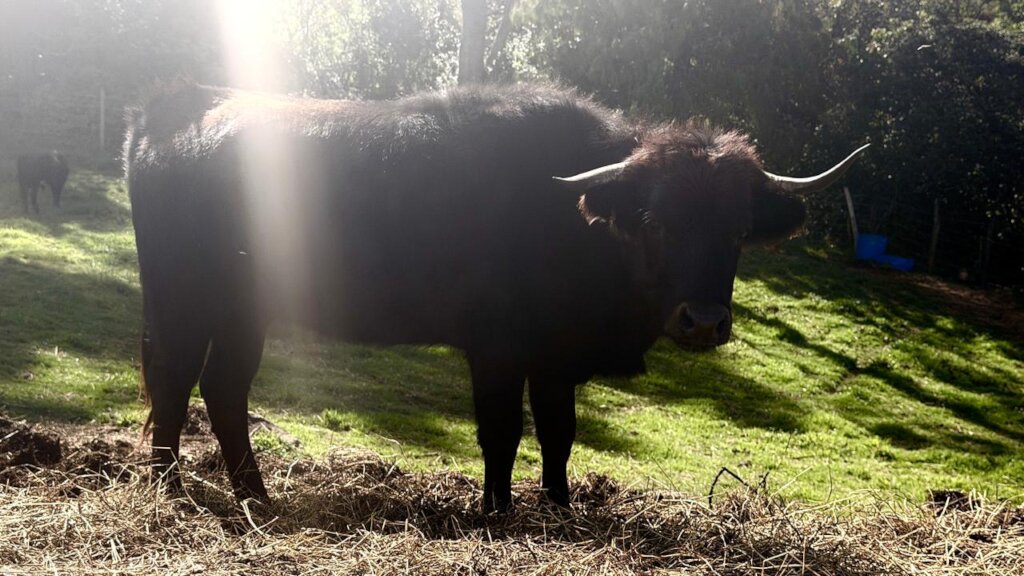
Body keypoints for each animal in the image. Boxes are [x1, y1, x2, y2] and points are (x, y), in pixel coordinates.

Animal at [124, 82, 866, 512]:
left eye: (738, 230)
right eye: (656, 220)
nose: (704, 321)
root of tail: (169, 122)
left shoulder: (556, 359)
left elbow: (561, 435)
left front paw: (560, 507)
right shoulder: (498, 351)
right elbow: (502, 432)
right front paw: (497, 510)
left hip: (243, 312)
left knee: (224, 388)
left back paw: (257, 495)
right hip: (183, 299)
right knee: (174, 379)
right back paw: (169, 490)